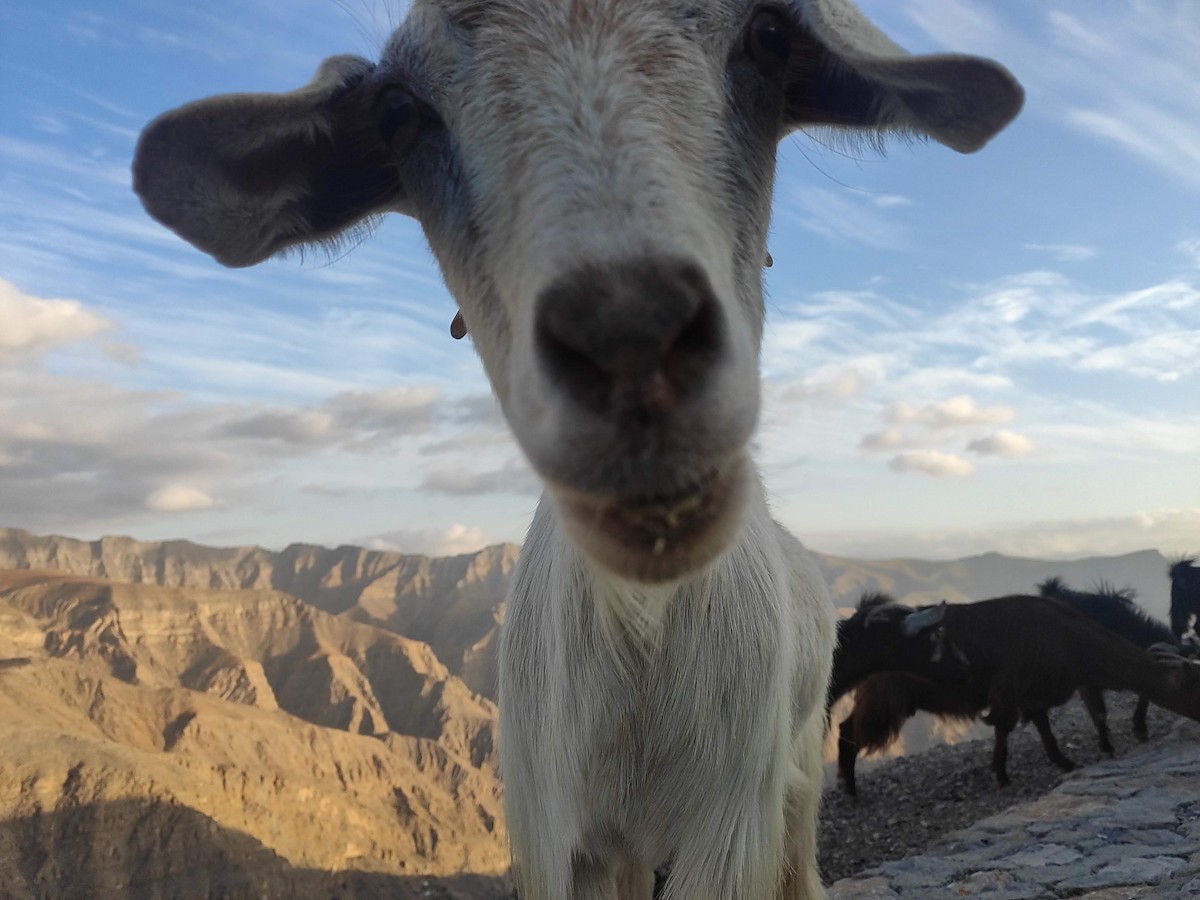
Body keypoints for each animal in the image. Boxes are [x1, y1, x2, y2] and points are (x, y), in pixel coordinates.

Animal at [129, 2, 1023, 897]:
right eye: (396, 113)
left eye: (771, 40)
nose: (631, 340)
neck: (642, 653)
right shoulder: (556, 830)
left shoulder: (732, 822)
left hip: (793, 775)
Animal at [833, 595, 1200, 789]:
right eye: (1191, 684)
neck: (1068, 638)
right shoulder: (1011, 690)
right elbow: (1006, 728)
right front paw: (1002, 775)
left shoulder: (1034, 694)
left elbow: (1044, 728)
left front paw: (1063, 761)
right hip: (886, 700)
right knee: (848, 729)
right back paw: (850, 788)